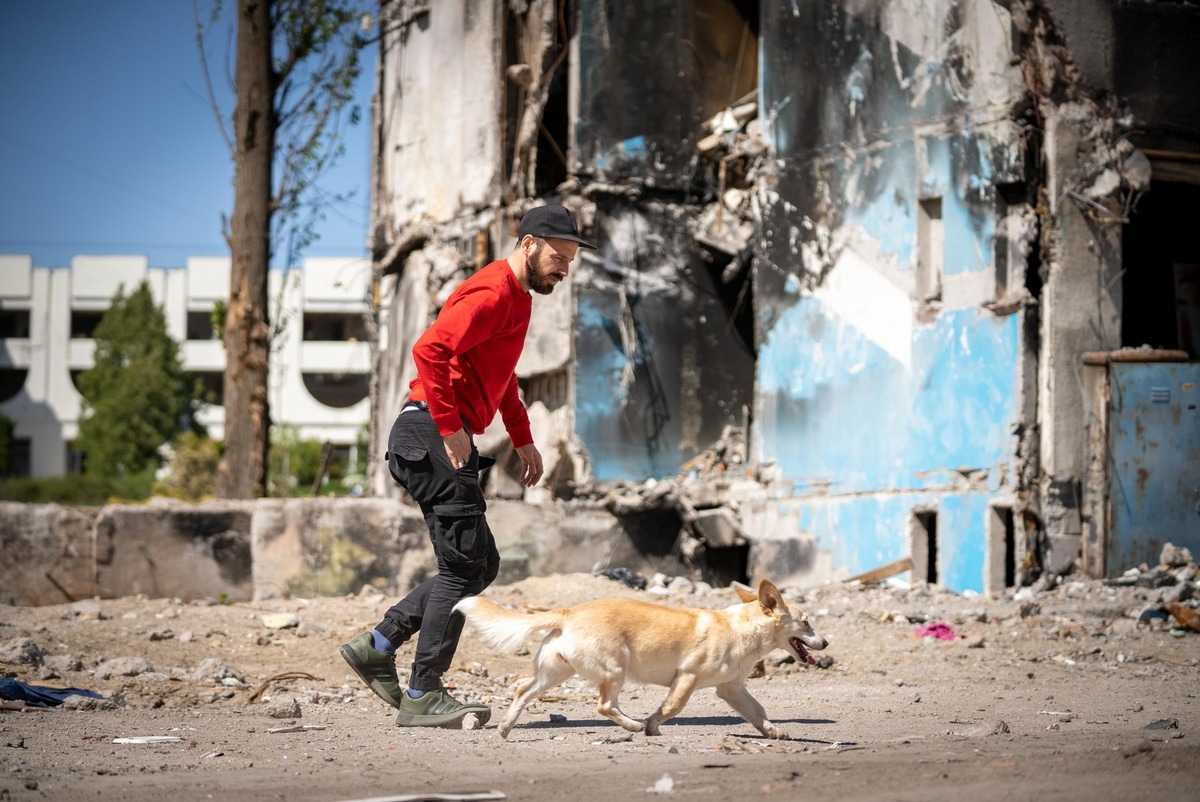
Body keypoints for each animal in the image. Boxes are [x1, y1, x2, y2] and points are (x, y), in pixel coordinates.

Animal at [453, 576, 830, 739]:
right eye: (806, 622)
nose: (826, 643)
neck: (742, 628)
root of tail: (568, 611)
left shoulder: (732, 689)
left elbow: (758, 711)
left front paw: (772, 731)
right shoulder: (687, 678)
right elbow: (672, 707)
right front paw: (651, 724)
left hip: (555, 674)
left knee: (522, 691)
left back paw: (505, 728)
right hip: (615, 668)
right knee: (604, 705)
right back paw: (634, 725)